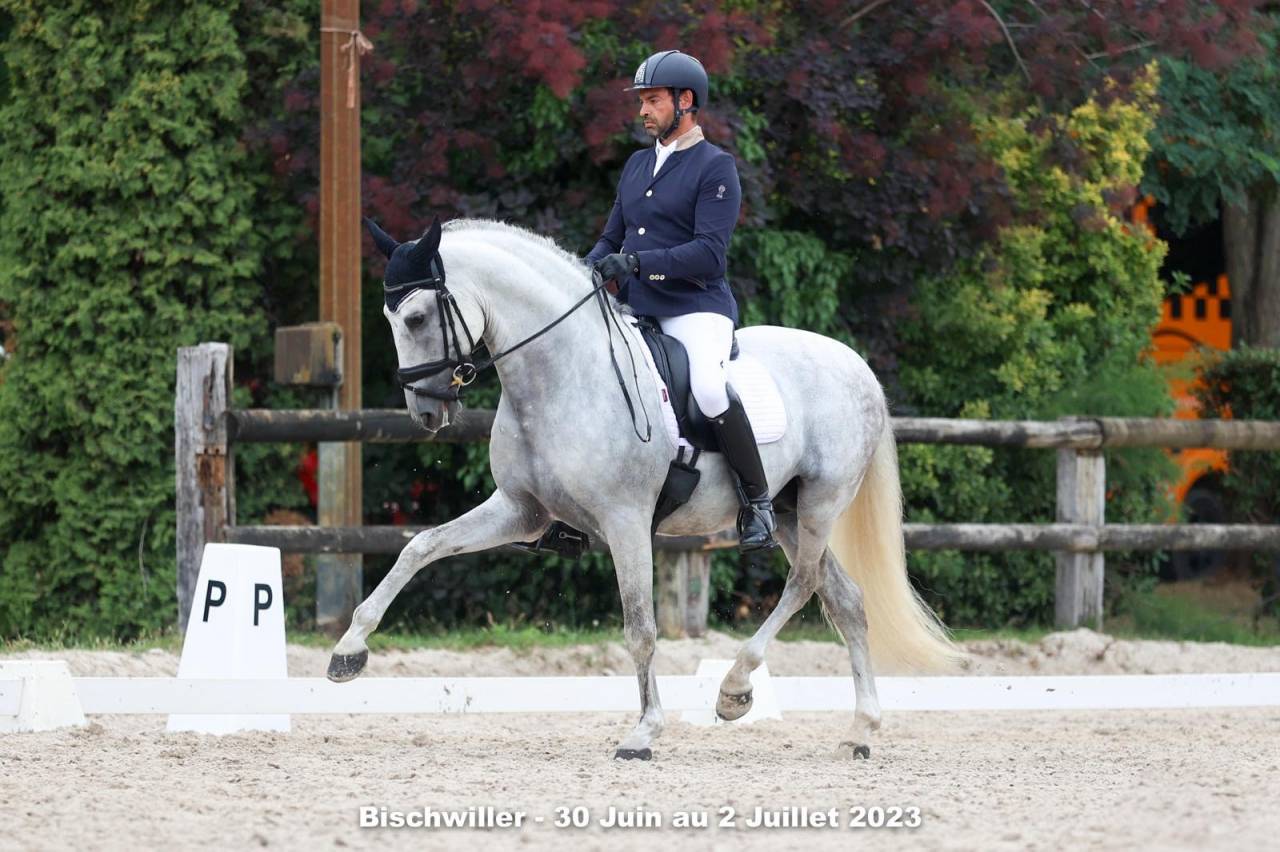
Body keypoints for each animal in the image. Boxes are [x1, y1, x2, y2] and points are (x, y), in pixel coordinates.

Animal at [327, 217, 966, 760]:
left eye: (415, 318)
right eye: (390, 318)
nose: (425, 412)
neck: (562, 374)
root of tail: (857, 367)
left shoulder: (626, 521)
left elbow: (640, 627)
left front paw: (642, 733)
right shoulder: (520, 511)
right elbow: (421, 546)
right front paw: (348, 652)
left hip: (819, 503)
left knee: (803, 584)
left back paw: (734, 691)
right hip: (786, 510)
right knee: (847, 600)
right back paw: (859, 732)